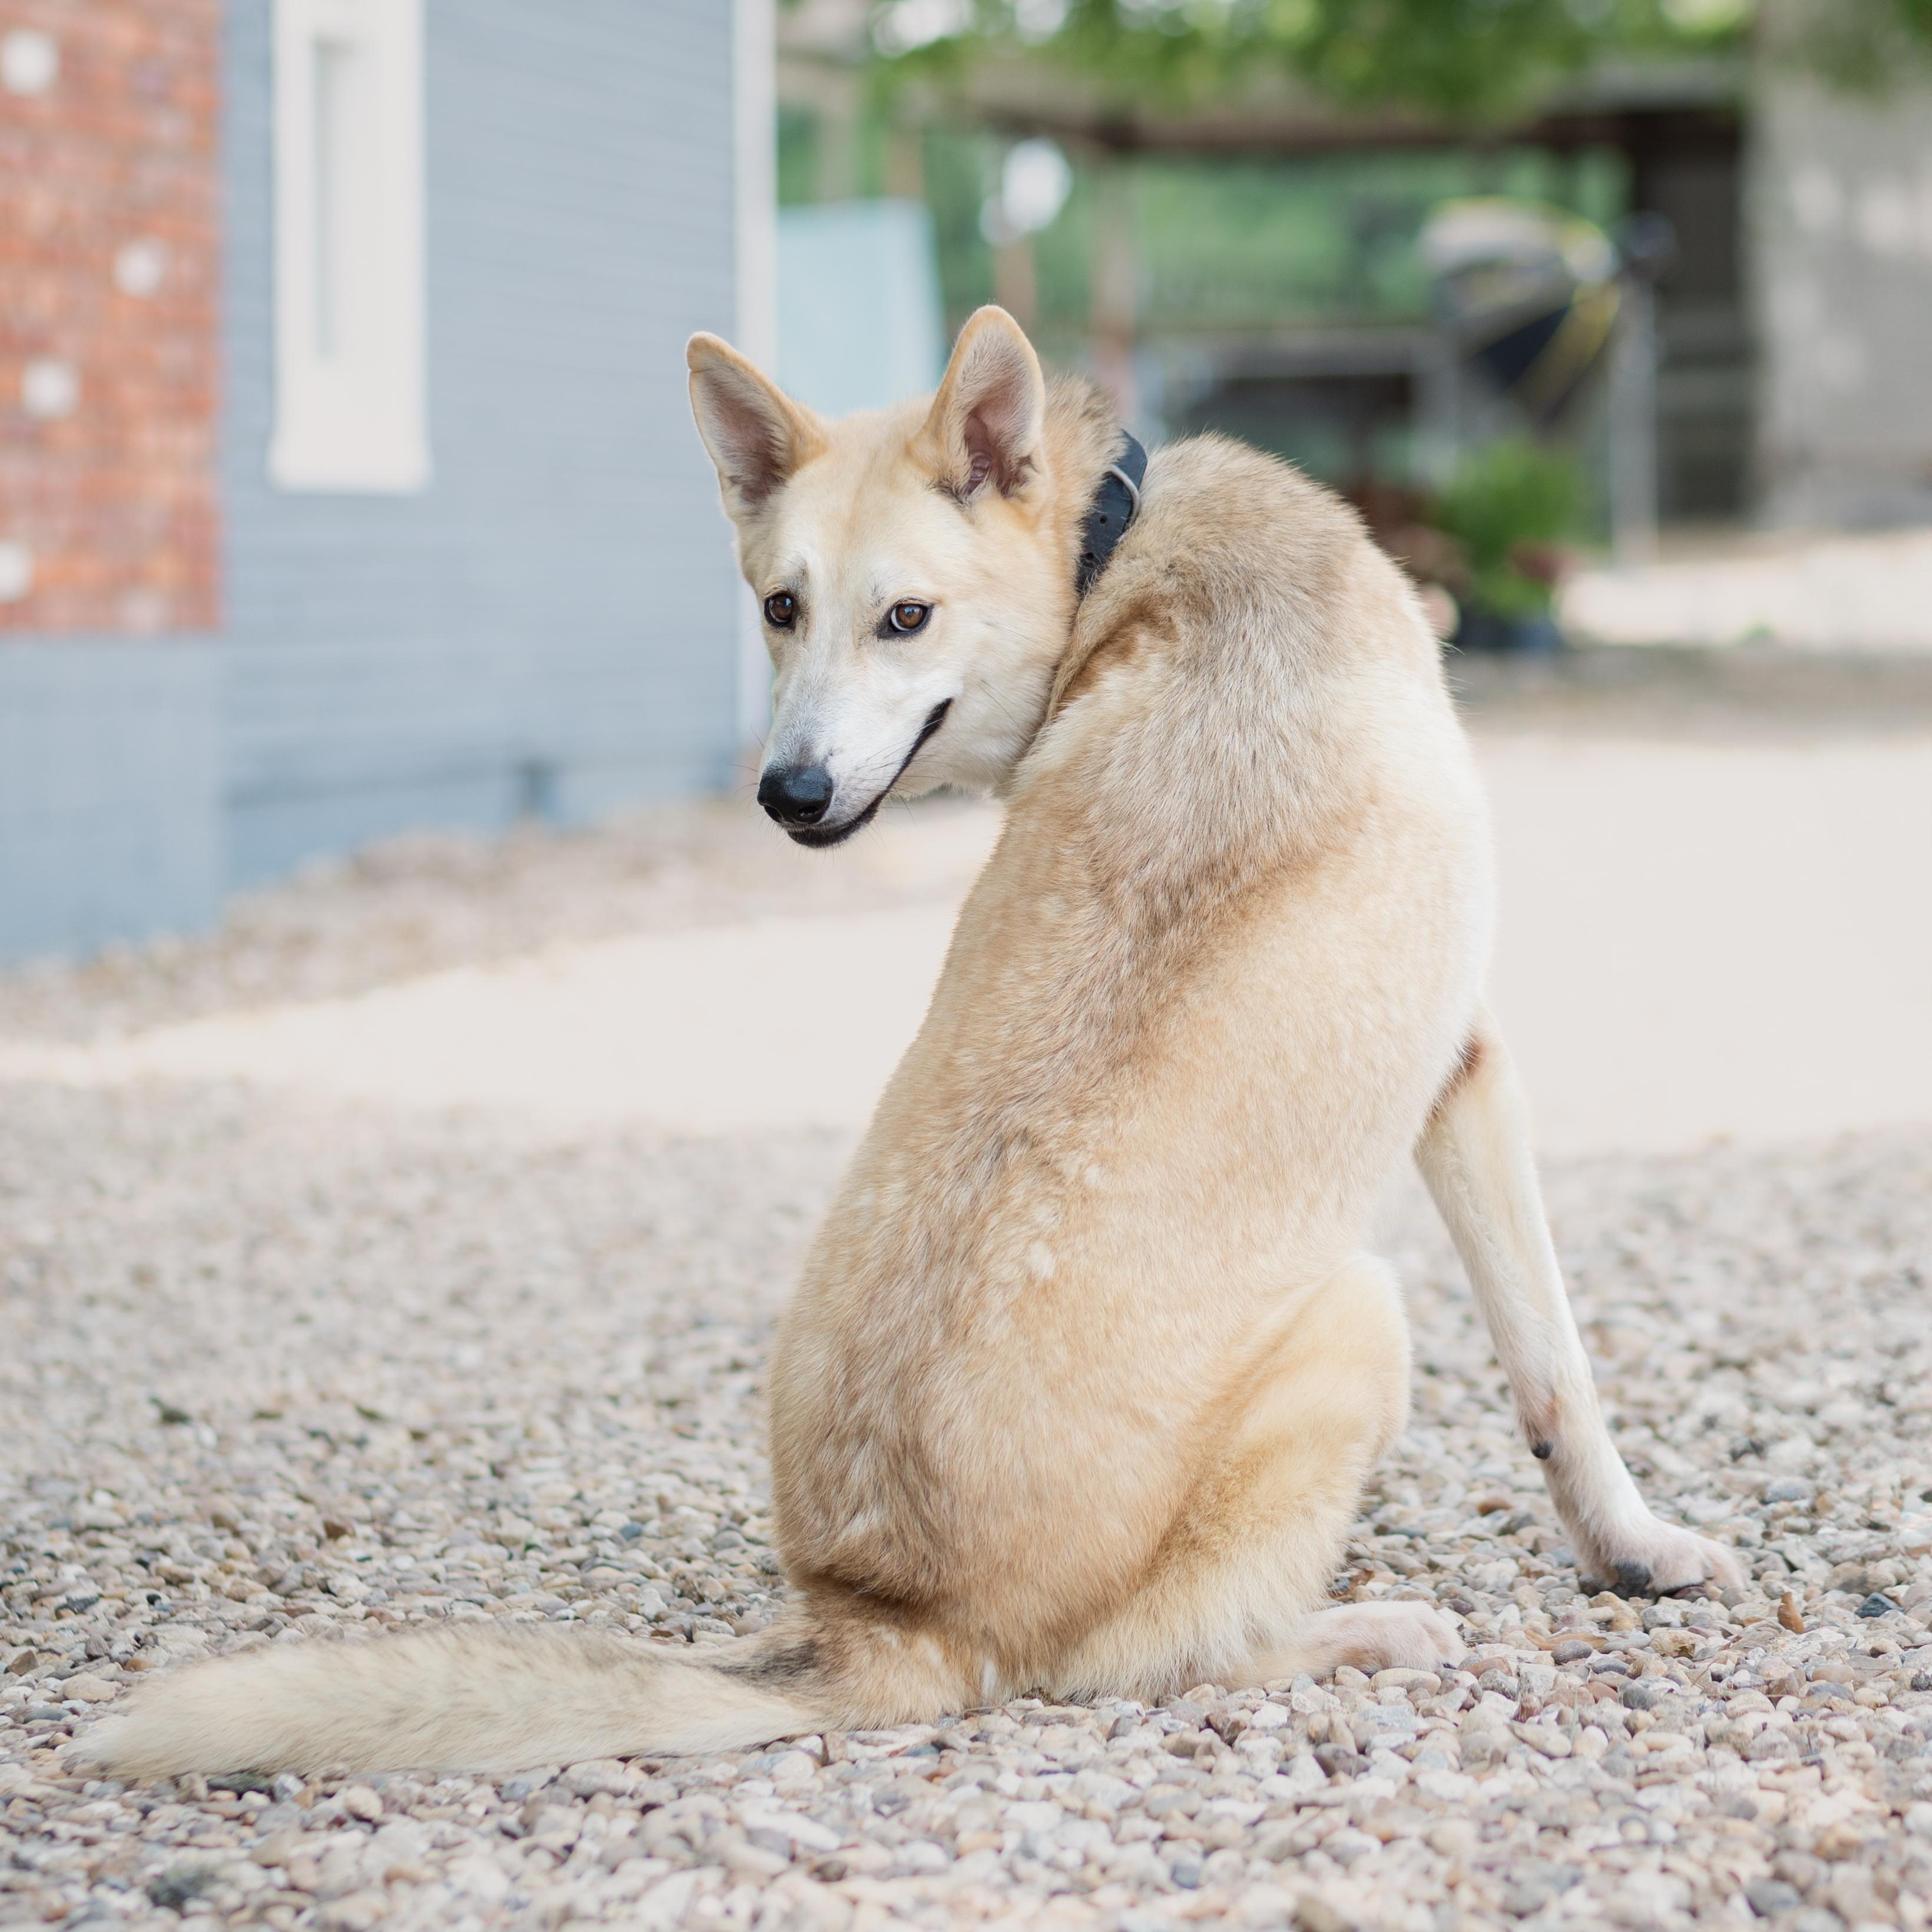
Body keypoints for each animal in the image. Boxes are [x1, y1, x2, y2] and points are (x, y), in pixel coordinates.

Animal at [83, 307, 1738, 1779]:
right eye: (780, 608)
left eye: (903, 617)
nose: (788, 791)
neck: (1115, 551)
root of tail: (887, 1617)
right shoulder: (1470, 1067)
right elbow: (1556, 1371)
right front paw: (1636, 1547)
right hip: (1358, 1314)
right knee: (1156, 1653)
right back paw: (1360, 1631)